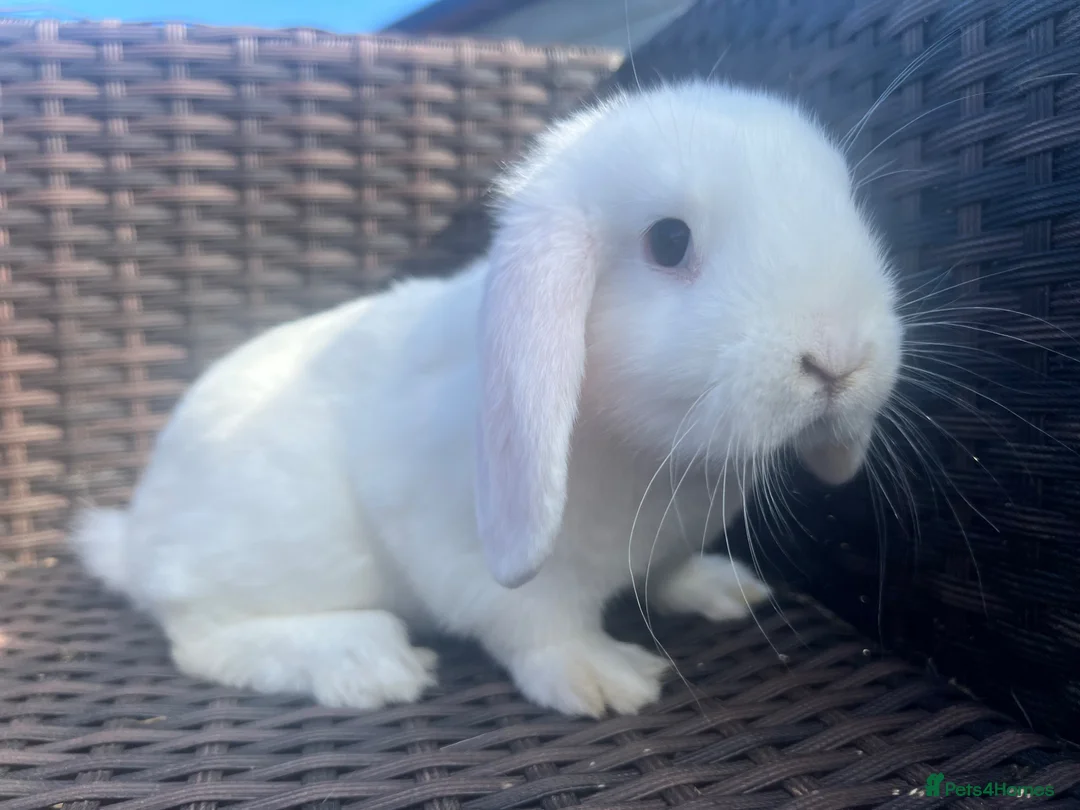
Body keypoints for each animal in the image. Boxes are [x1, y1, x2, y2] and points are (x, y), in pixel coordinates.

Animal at [70, 78, 903, 718]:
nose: (839, 359)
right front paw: (604, 679)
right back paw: (363, 660)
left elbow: (667, 572)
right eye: (669, 241)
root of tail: (135, 541)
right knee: (199, 638)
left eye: (848, 205)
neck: (646, 453)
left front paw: (718, 587)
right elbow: (532, 620)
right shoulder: (457, 539)